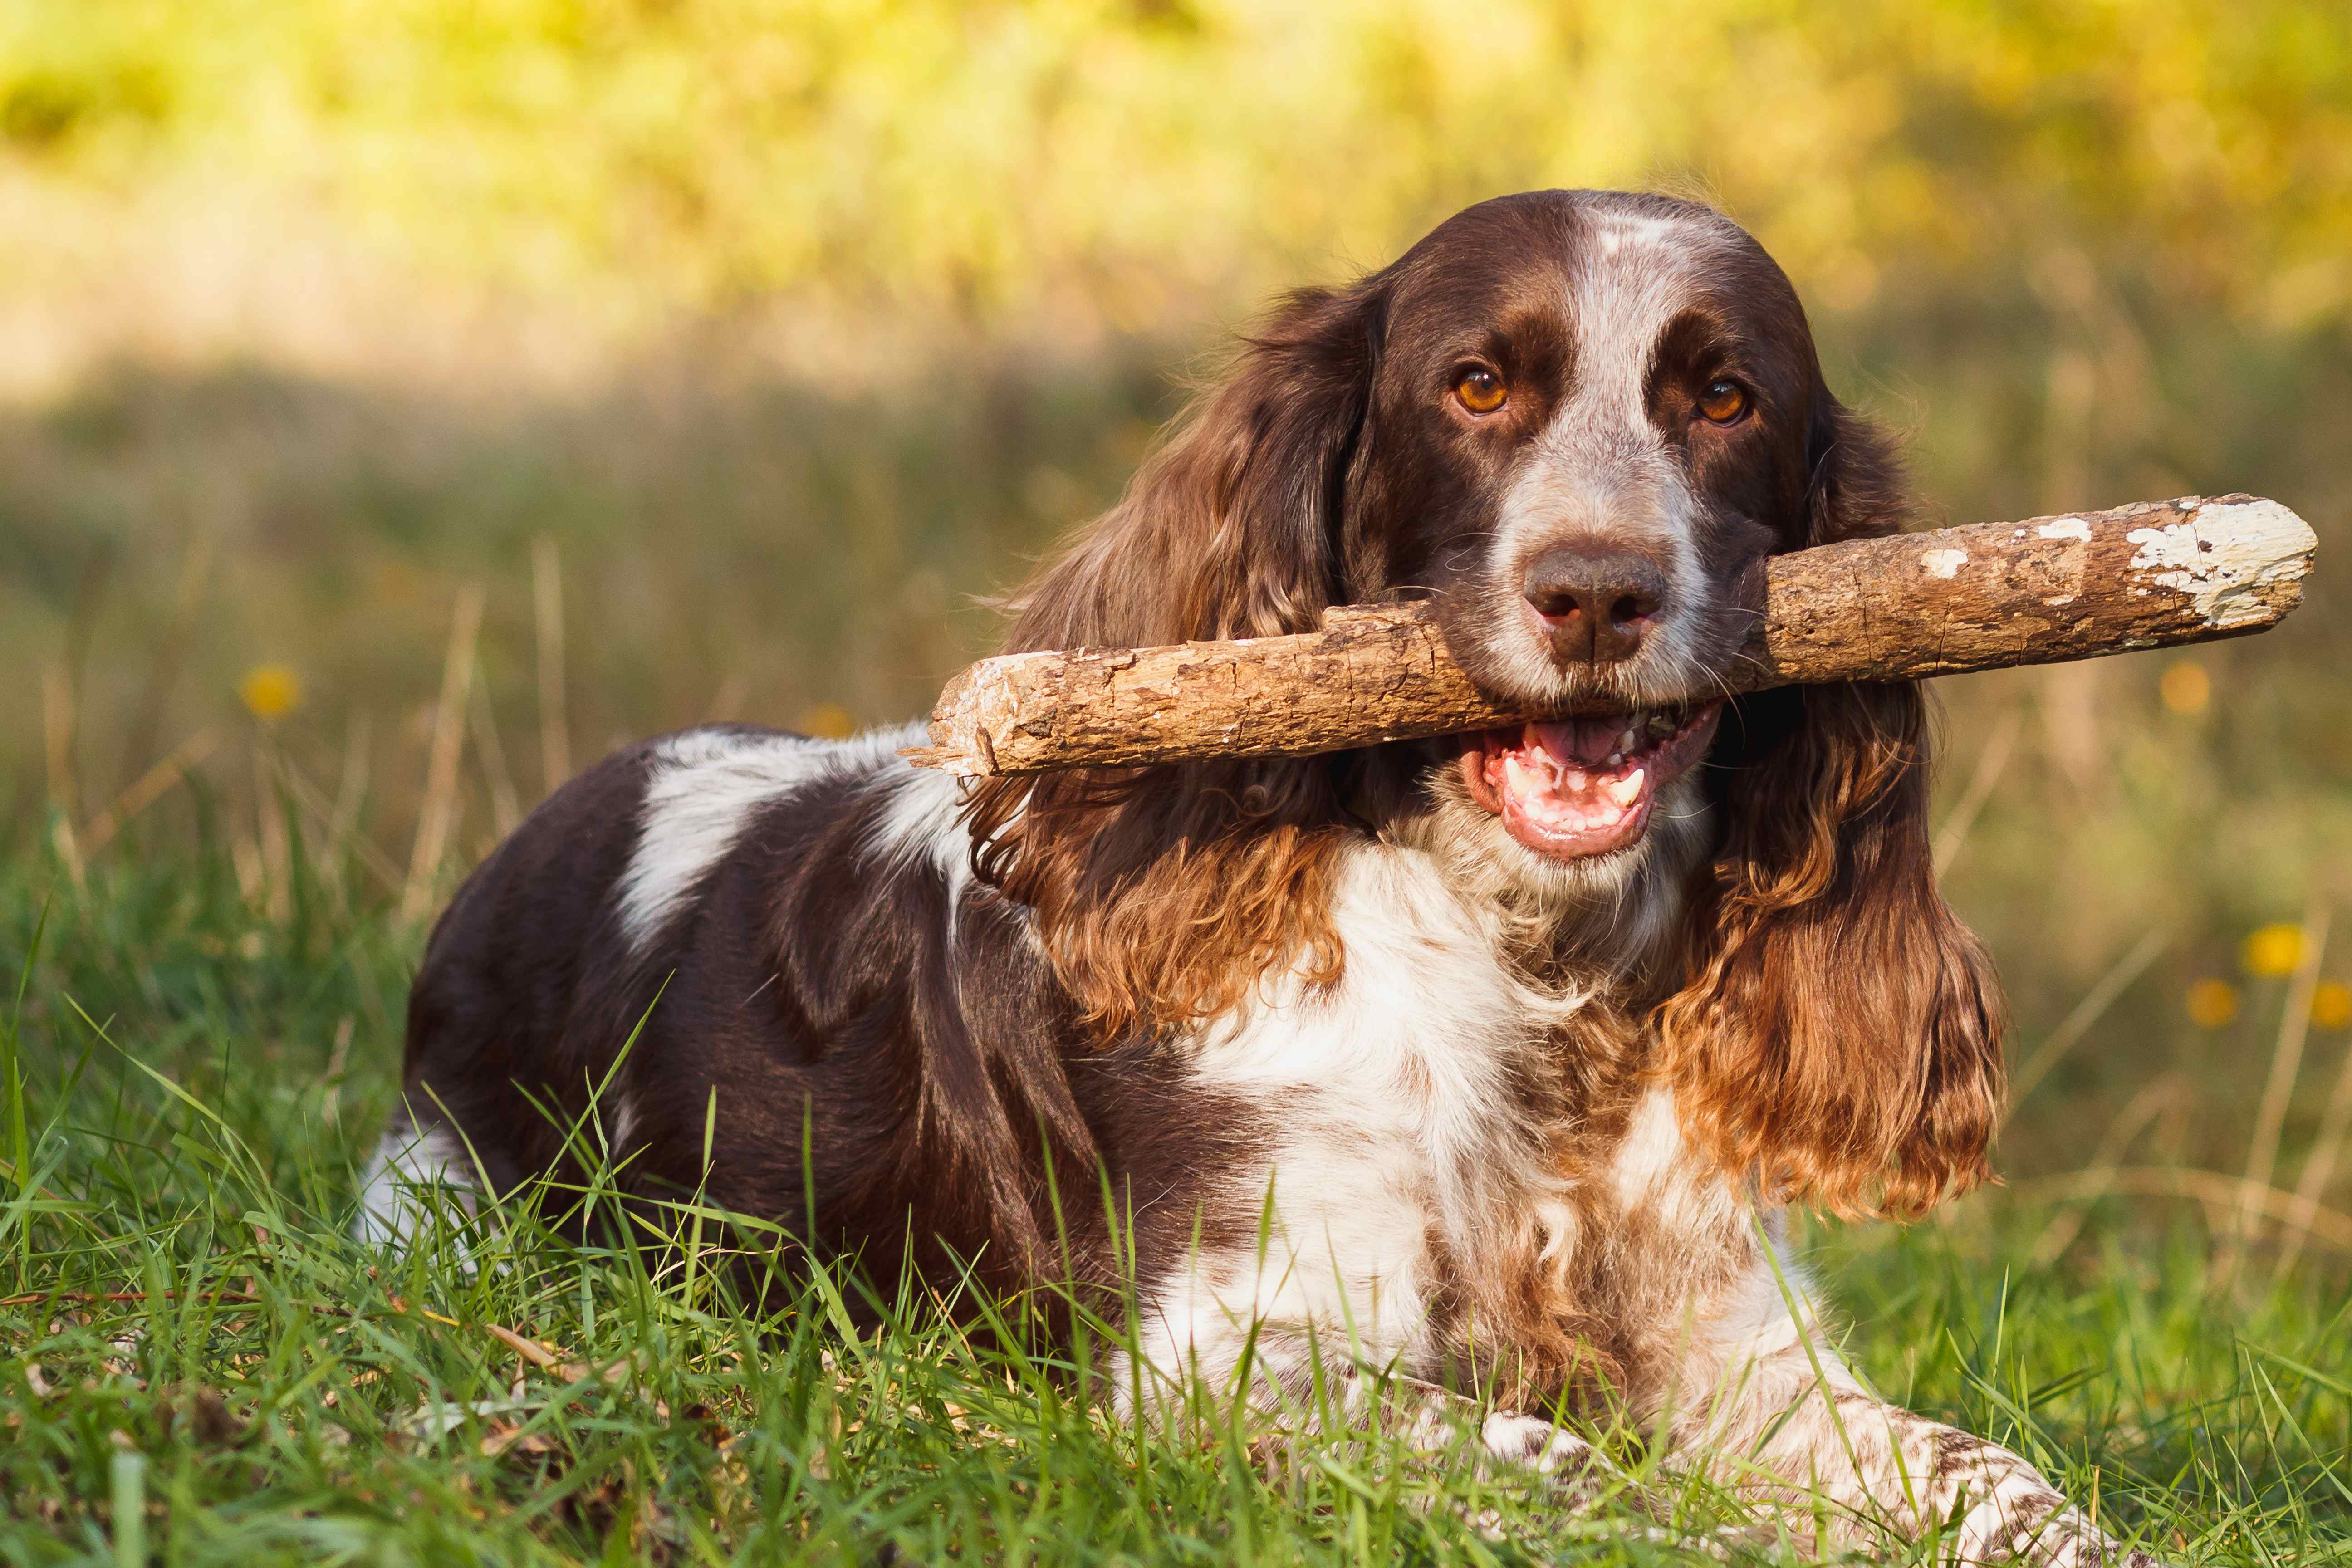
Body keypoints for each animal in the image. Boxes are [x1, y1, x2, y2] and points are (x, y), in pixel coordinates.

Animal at [376, 190, 2154, 1561]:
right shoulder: (1216, 1347)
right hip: (450, 1211)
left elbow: (2003, 1483)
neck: (1531, 984)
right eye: (1475, 385)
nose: (1597, 590)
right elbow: (1572, 1487)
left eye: (1725, 399)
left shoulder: (1745, 1357)